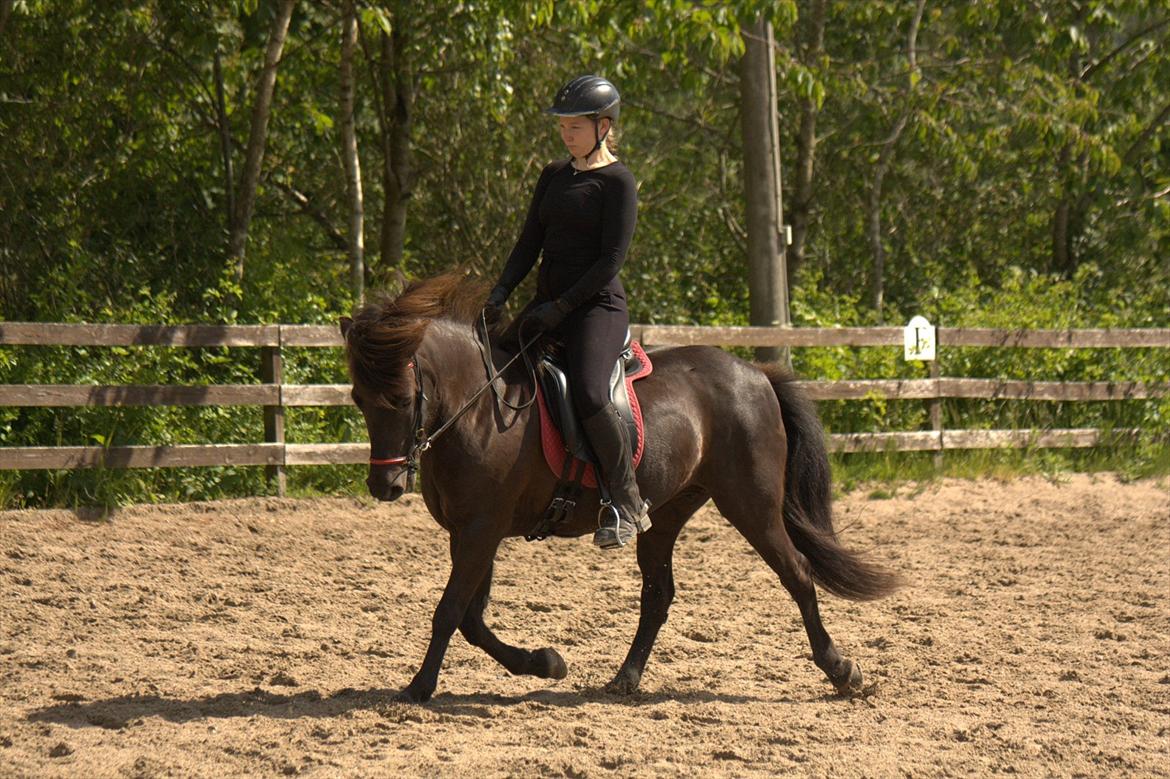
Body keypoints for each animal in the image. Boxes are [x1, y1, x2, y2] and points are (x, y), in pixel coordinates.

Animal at [341, 274, 903, 701]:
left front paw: (418, 687)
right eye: (358, 399)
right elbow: (471, 619)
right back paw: (625, 679)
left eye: (402, 397)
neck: (479, 408)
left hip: (751, 505)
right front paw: (545, 663)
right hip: (666, 513)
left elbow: (449, 612)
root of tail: (757, 374)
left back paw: (842, 671)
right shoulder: (471, 533)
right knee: (658, 595)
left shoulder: (481, 530)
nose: (385, 484)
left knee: (797, 574)